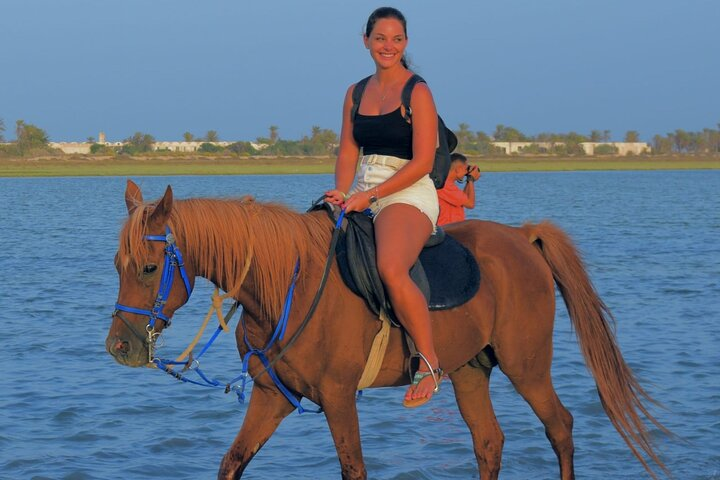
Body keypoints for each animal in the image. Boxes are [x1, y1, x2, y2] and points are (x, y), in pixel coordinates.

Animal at [104, 181, 668, 480]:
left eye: (149, 268)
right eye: (117, 265)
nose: (119, 345)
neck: (286, 287)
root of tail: (523, 239)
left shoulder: (337, 398)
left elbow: (354, 468)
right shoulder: (273, 396)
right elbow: (232, 462)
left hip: (527, 365)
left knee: (560, 428)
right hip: (469, 370)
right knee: (489, 441)